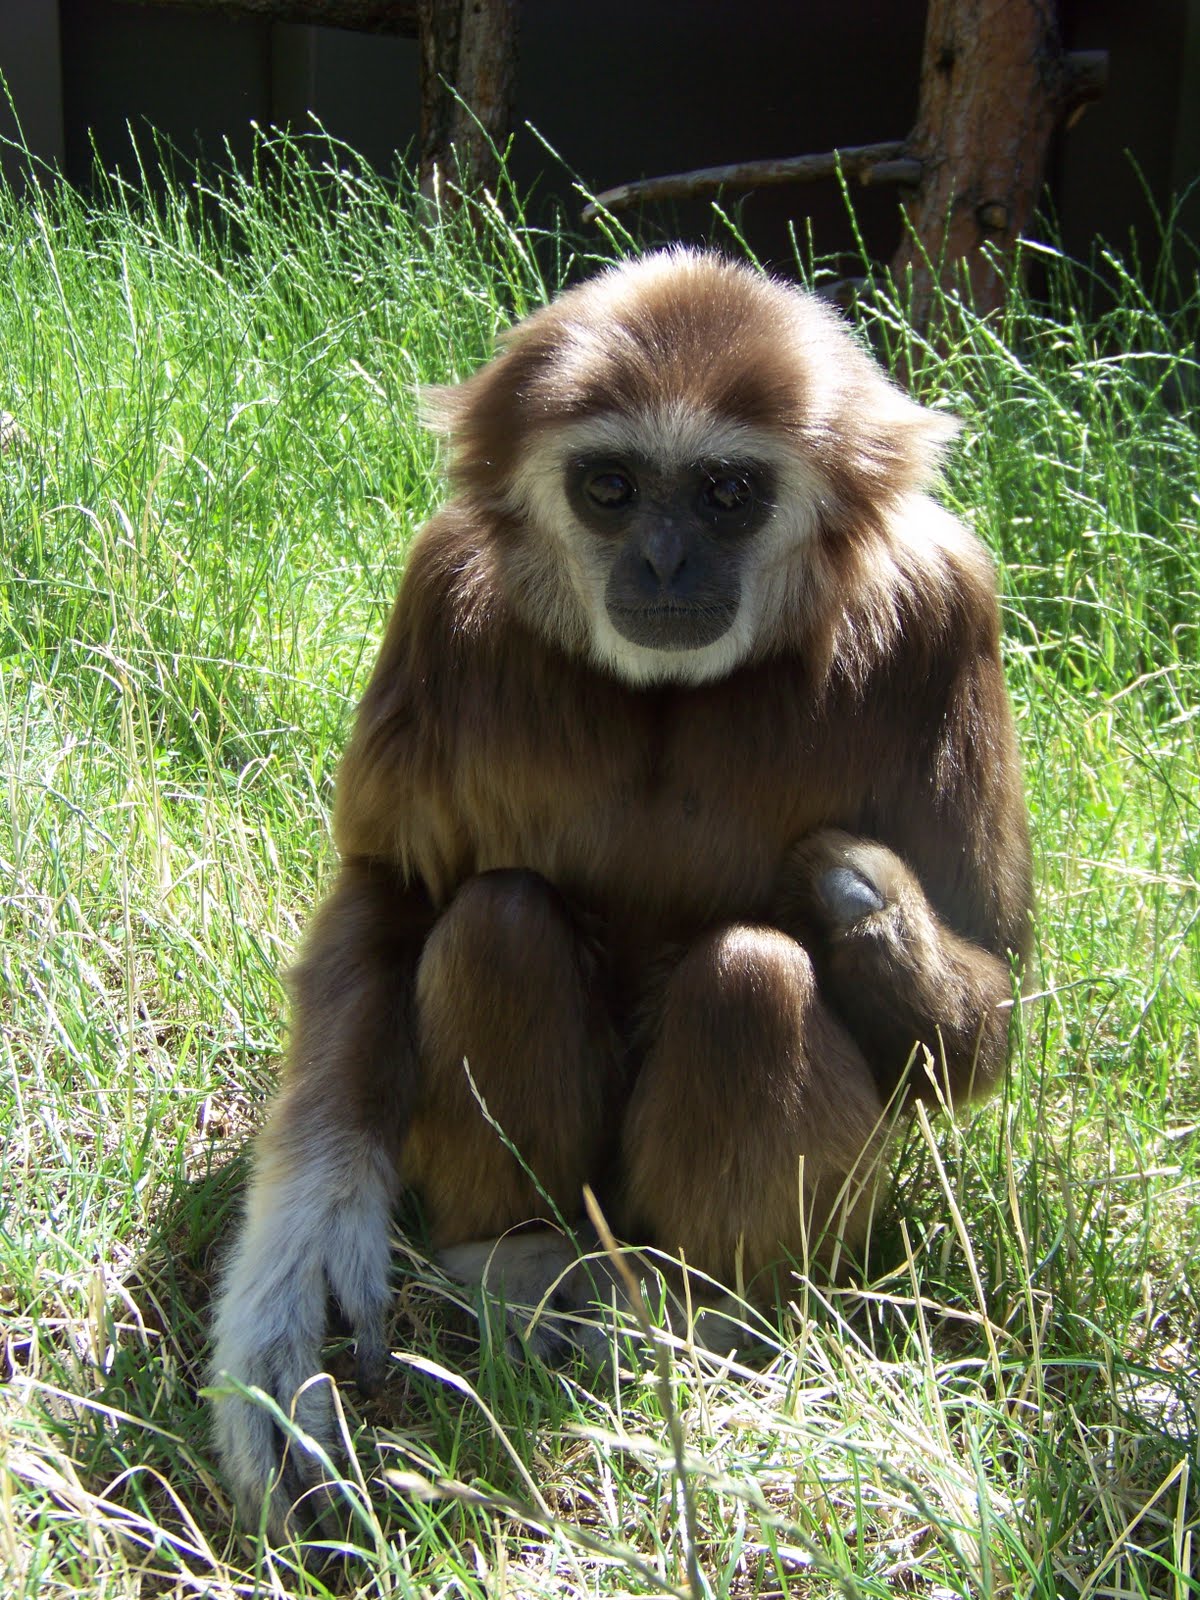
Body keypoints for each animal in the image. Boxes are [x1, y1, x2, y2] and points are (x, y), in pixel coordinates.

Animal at [209, 248, 1032, 1540]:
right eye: (609, 487)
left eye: (728, 493)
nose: (661, 560)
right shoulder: (441, 587)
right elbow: (388, 898)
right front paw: (298, 1269)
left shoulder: (951, 602)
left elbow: (987, 997)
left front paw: (864, 895)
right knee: (497, 920)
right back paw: (513, 1261)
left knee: (752, 978)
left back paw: (712, 1310)